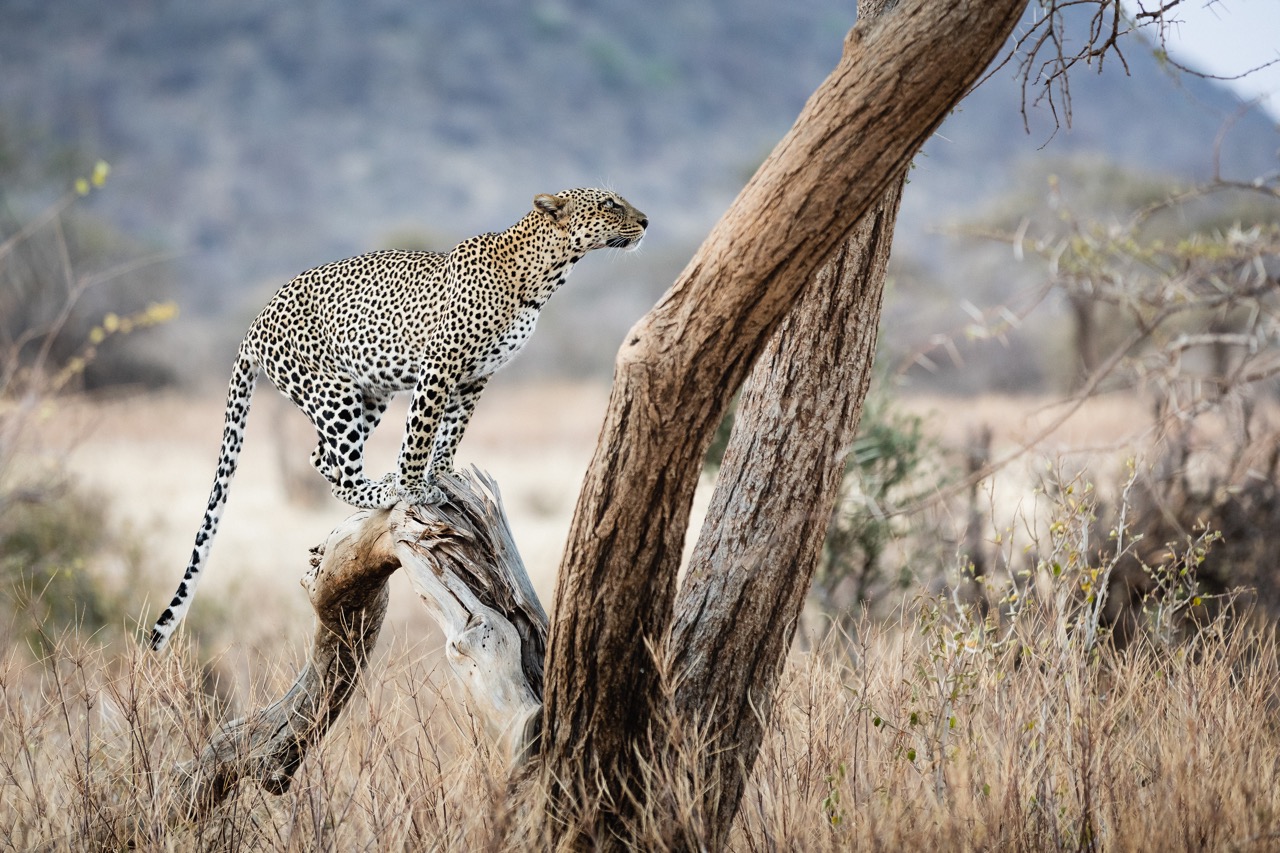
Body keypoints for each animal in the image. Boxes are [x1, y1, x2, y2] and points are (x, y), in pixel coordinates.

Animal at [148, 188, 647, 651]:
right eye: (609, 203)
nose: (644, 220)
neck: (543, 275)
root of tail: (255, 321)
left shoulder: (474, 378)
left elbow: (451, 431)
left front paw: (443, 474)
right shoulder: (440, 365)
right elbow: (421, 433)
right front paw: (413, 487)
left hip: (369, 392)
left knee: (320, 459)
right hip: (335, 393)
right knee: (339, 467)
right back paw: (384, 489)